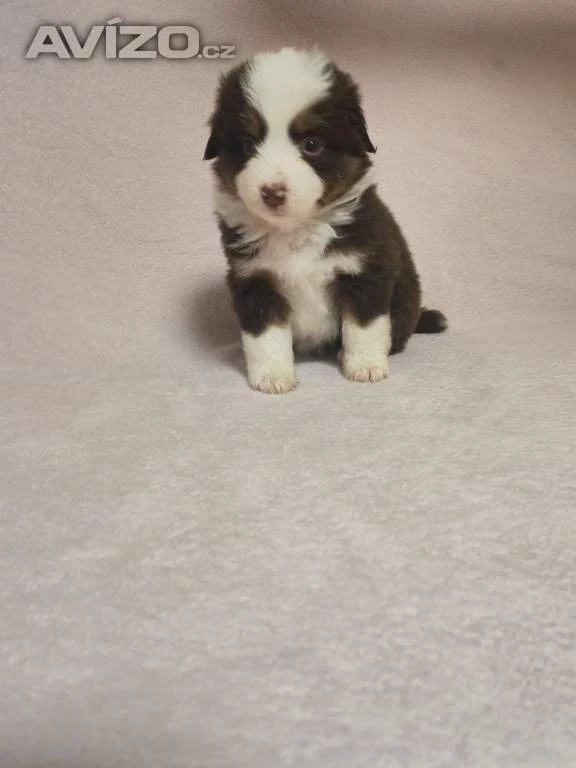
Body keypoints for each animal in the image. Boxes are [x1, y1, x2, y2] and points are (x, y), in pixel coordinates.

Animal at [204, 47, 447, 393]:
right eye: (248, 144)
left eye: (312, 145)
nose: (272, 192)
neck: (297, 230)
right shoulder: (254, 279)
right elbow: (266, 336)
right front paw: (272, 376)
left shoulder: (365, 270)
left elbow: (364, 326)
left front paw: (364, 366)